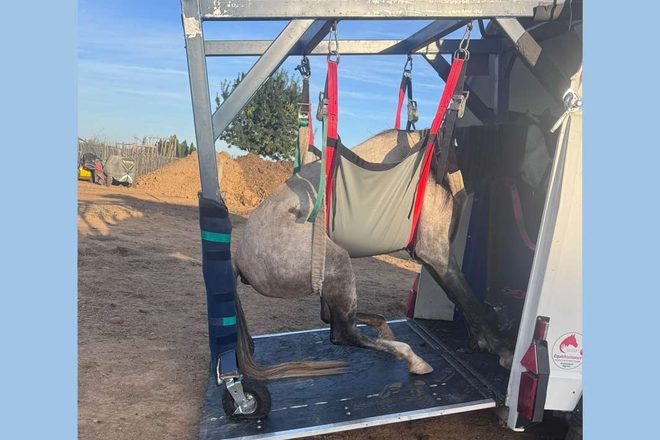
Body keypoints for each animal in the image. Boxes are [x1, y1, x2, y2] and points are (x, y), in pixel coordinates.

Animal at [233, 124, 550, 380]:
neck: (440, 164)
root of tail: (240, 259)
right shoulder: (436, 252)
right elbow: (470, 299)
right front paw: (503, 350)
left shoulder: (431, 258)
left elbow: (460, 298)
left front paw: (481, 340)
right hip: (338, 262)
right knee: (342, 332)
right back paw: (412, 358)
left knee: (333, 318)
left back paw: (385, 331)